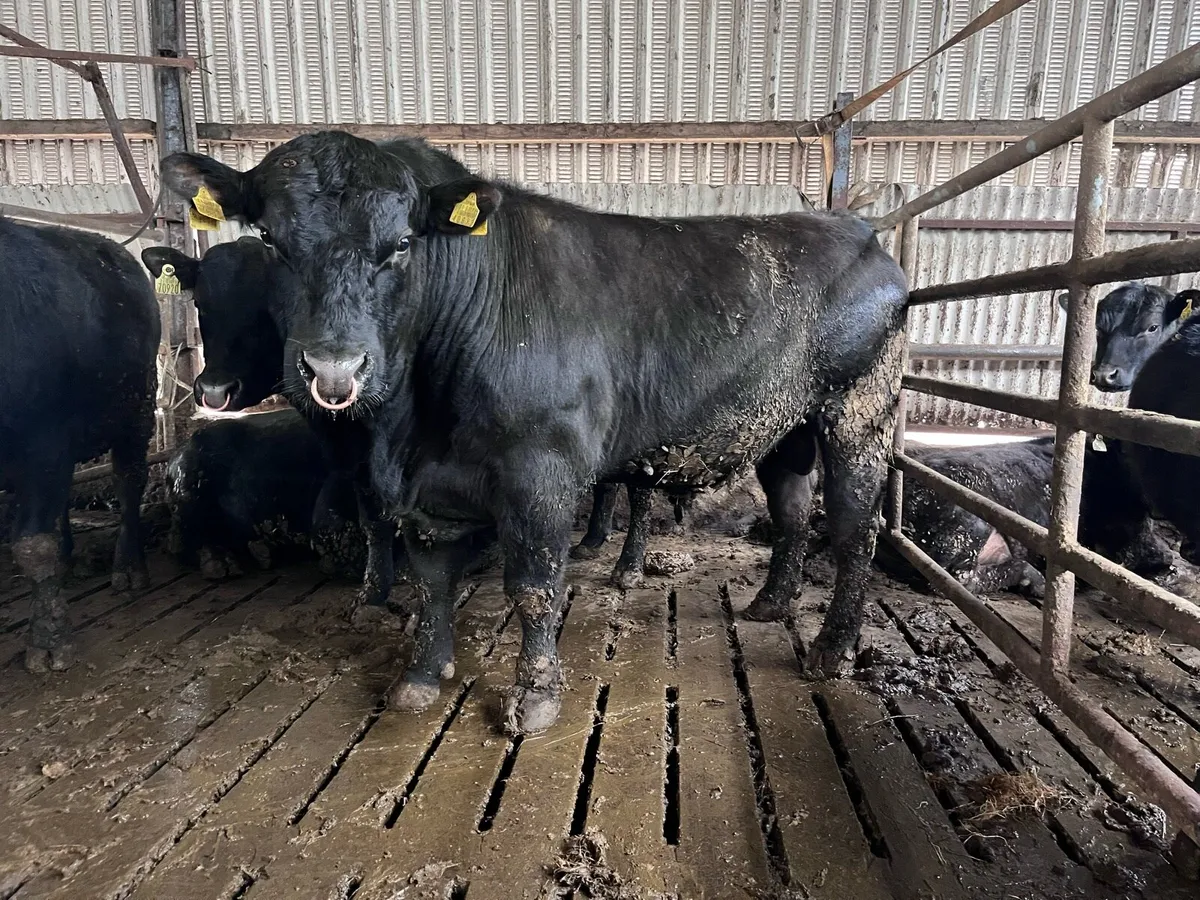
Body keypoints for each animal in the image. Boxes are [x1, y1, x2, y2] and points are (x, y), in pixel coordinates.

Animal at [0, 217, 159, 672]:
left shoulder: (43, 443)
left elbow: (32, 545)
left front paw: (48, 640)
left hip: (137, 411)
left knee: (129, 483)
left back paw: (129, 569)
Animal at [162, 131, 908, 734]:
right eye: (270, 240)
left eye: (401, 244)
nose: (334, 367)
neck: (414, 427)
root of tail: (859, 230)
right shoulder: (424, 491)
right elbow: (430, 582)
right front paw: (422, 675)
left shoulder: (541, 472)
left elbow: (535, 585)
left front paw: (536, 696)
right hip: (787, 428)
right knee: (792, 511)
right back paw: (770, 603)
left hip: (859, 411)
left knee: (855, 527)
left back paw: (831, 649)